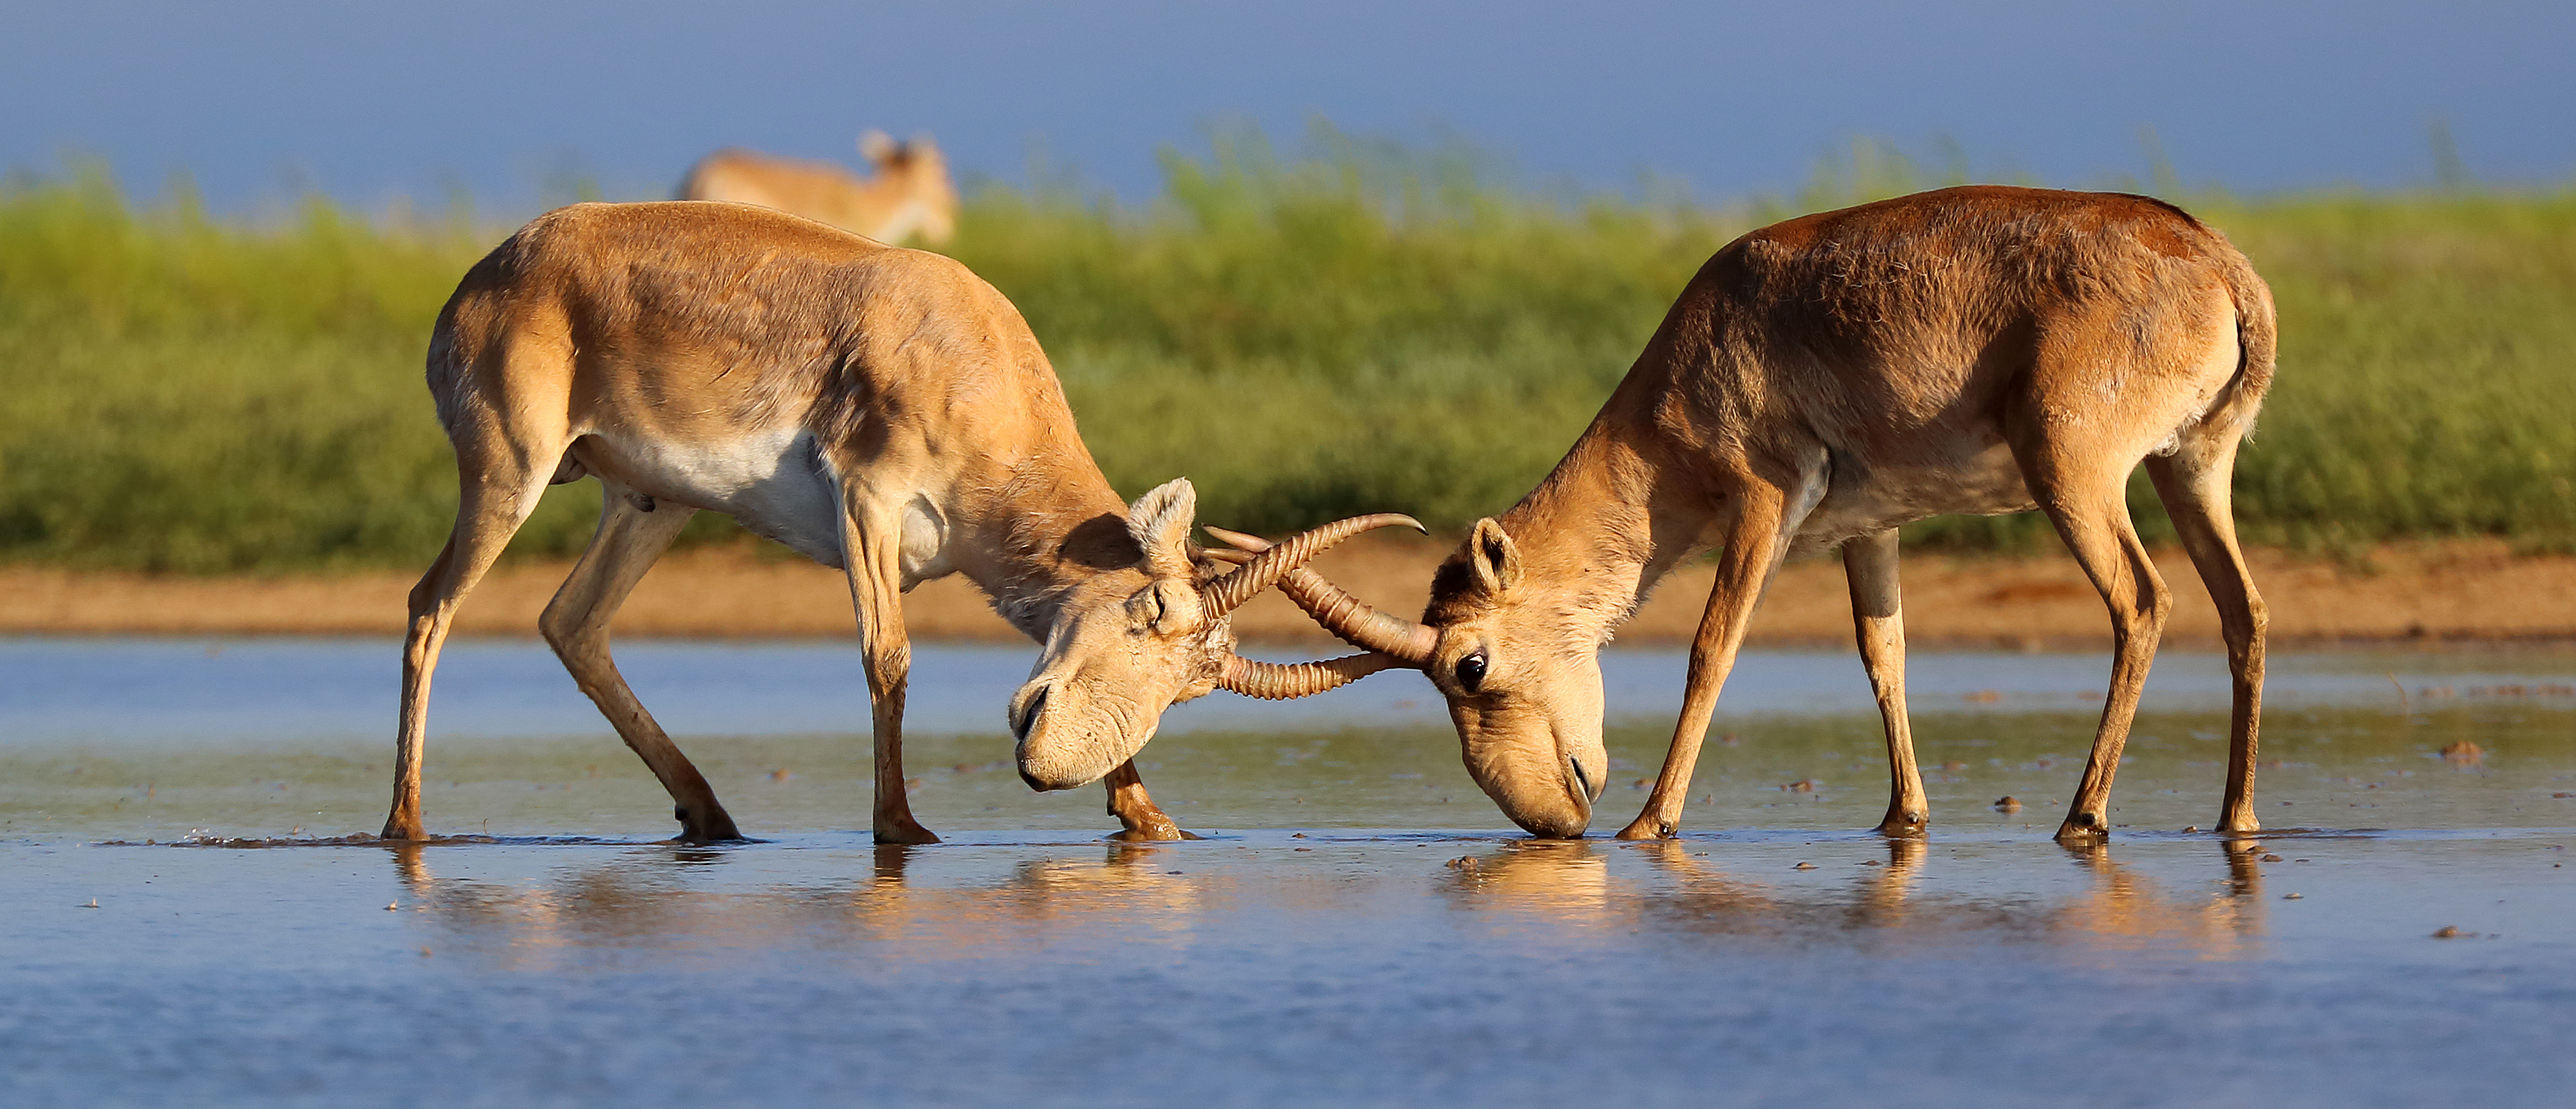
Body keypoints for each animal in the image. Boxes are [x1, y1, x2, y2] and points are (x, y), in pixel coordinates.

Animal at [391, 199, 1421, 846]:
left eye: (1190, 686)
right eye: (1148, 613)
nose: (1040, 770)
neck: (969, 350)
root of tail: (490, 270)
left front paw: (1151, 820)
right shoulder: (867, 501)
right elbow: (887, 657)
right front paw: (902, 828)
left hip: (651, 502)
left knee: (570, 621)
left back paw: (712, 817)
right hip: (509, 473)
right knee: (429, 604)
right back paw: (405, 827)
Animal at [1220, 185, 2277, 846]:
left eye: (1466, 665)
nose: (1554, 822)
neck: (1717, 323)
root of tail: (2222, 269)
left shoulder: (1763, 502)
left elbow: (1711, 648)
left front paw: (1651, 821)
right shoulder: (1870, 527)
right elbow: (1882, 655)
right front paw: (1902, 818)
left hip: (2076, 476)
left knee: (2142, 603)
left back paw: (2081, 816)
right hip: (2192, 469)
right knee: (2242, 609)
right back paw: (2236, 818)